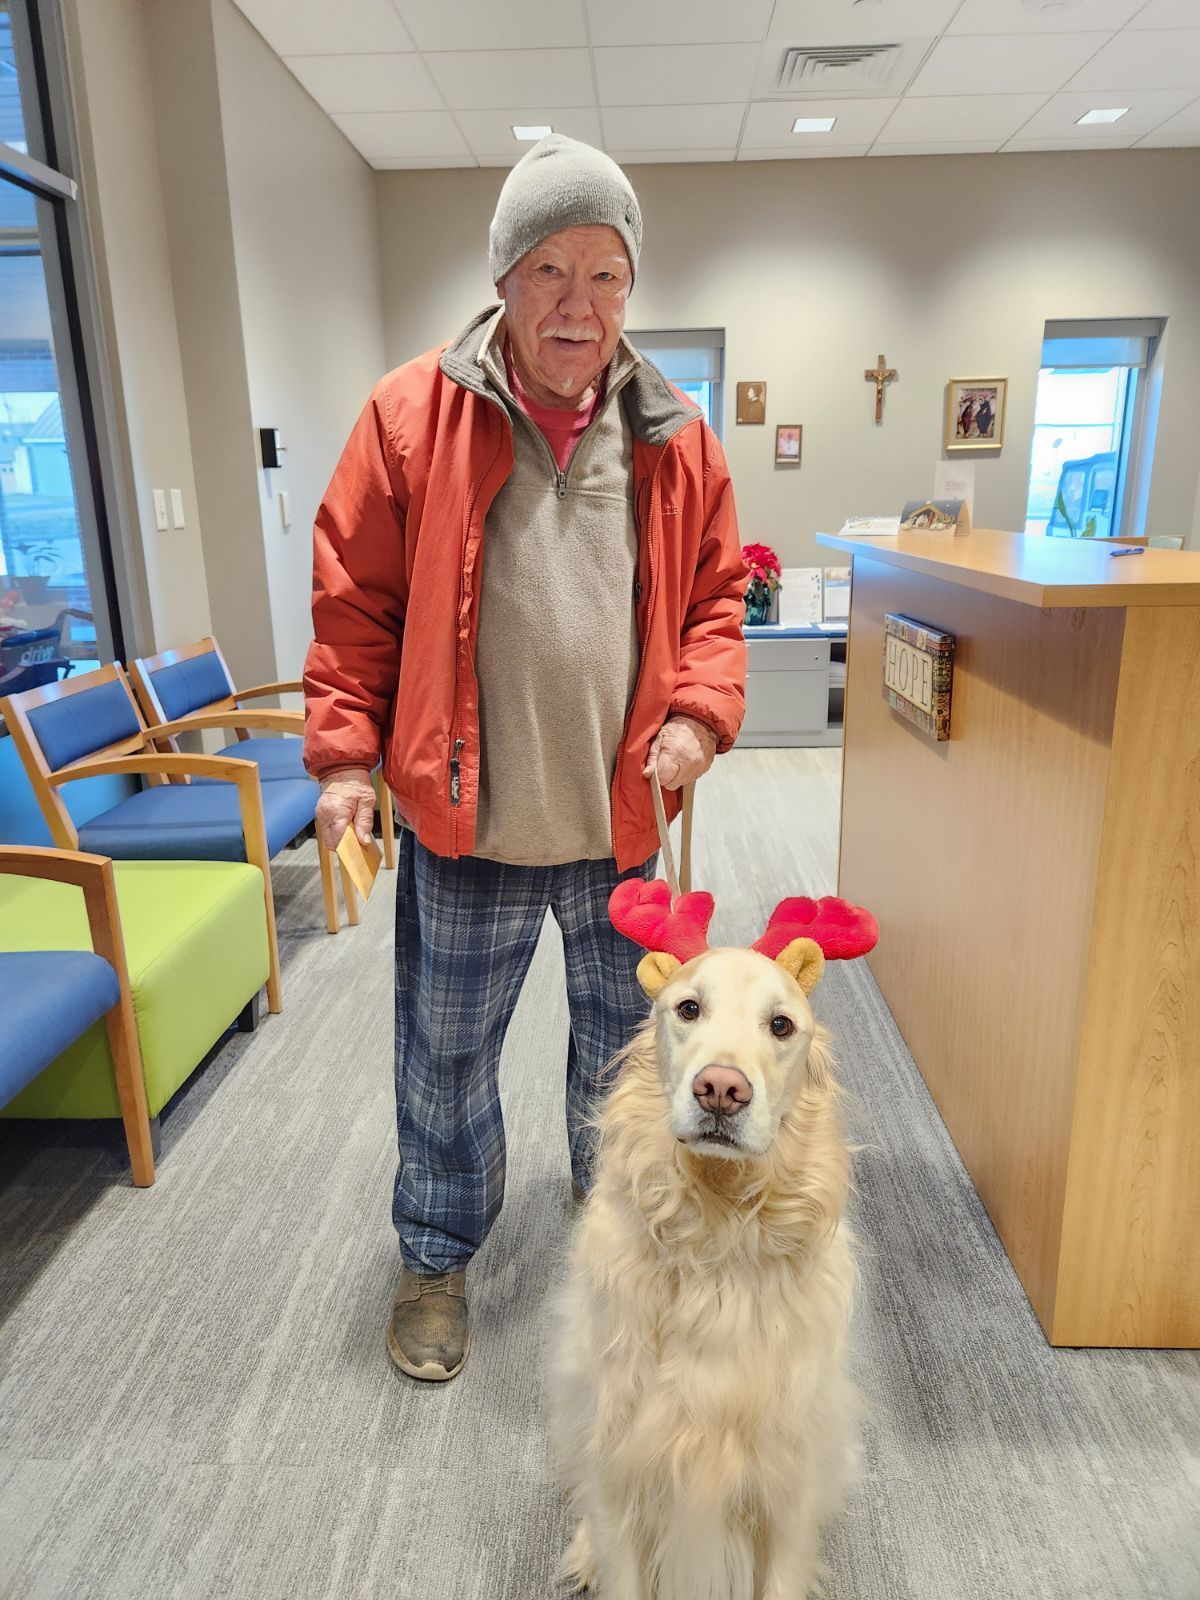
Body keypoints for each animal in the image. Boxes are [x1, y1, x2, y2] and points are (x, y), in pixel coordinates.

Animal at [550, 883, 876, 1600]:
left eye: (780, 1026)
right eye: (688, 1008)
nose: (722, 1089)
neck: (717, 1231)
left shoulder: (785, 1486)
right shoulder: (622, 1468)